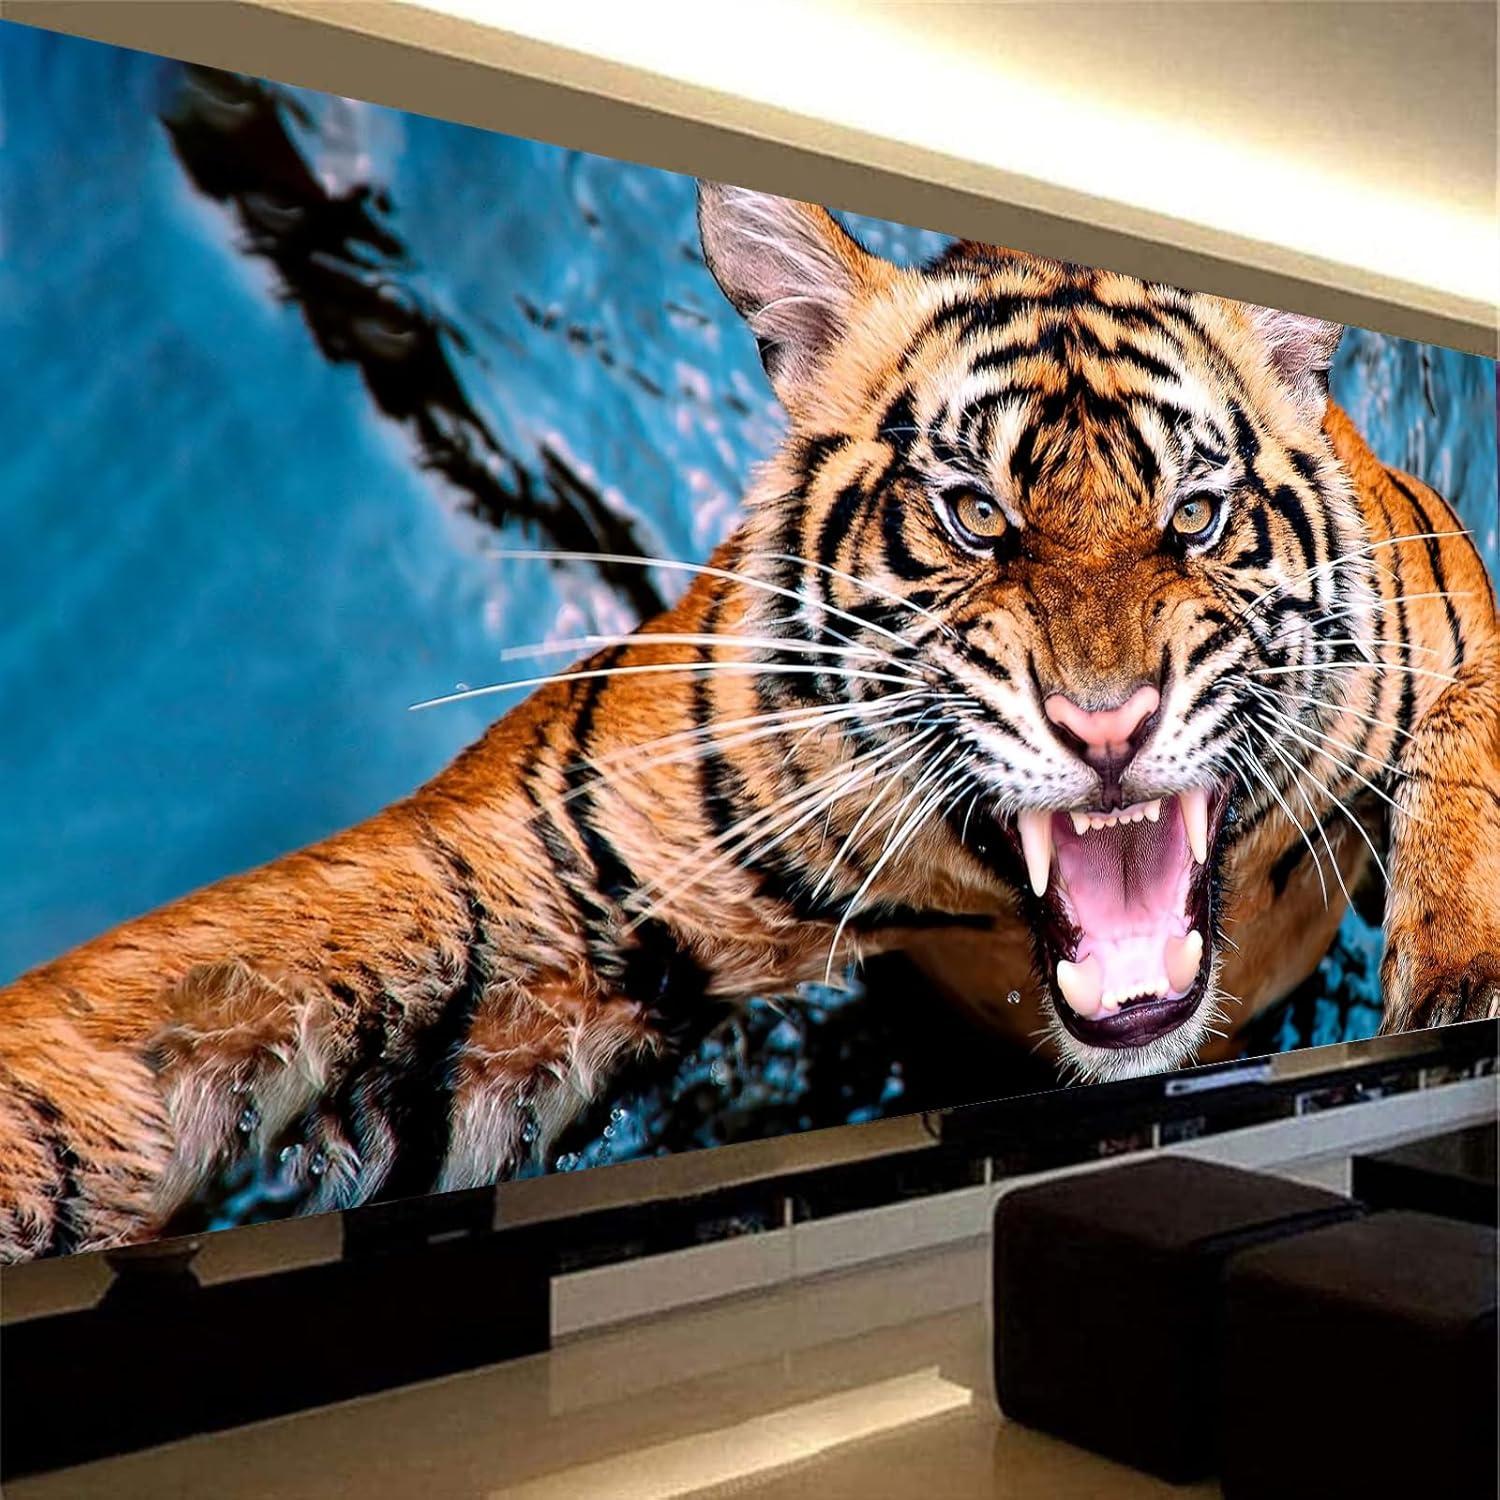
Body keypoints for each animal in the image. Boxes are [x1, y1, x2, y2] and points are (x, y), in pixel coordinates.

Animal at [1, 182, 1496, 1263]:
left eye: (1195, 514)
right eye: (975, 515)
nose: (1108, 723)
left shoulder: (1450, 595)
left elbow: (1471, 778)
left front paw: (1463, 990)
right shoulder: (548, 854)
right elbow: (204, 980)